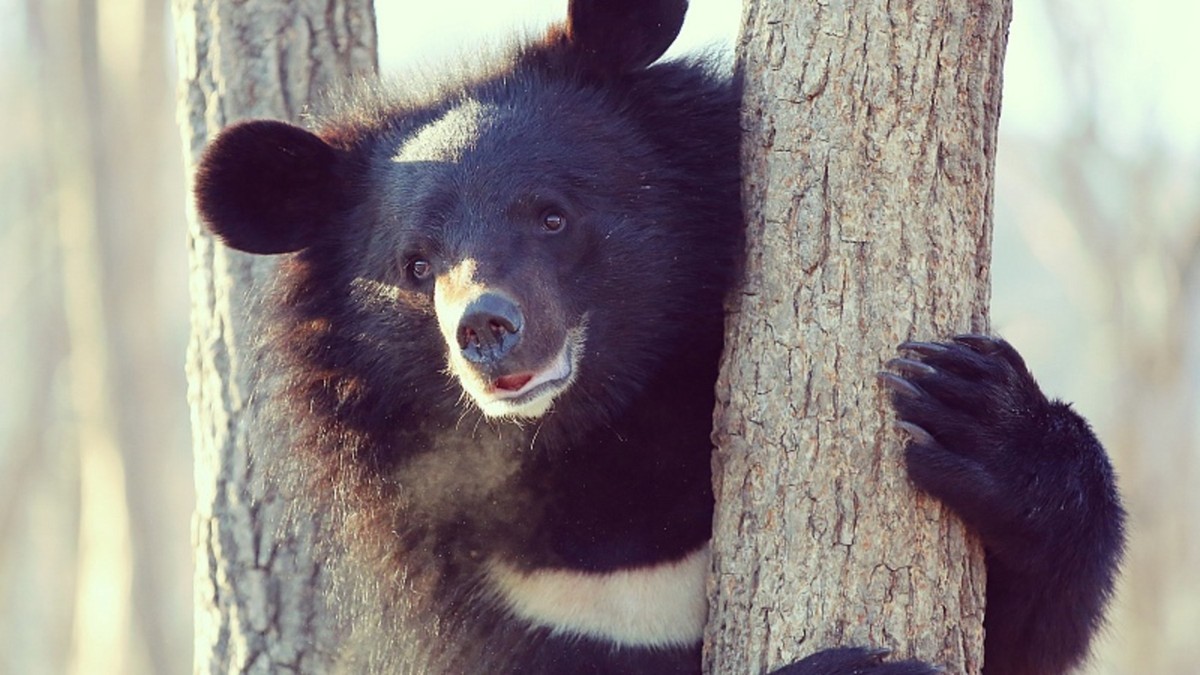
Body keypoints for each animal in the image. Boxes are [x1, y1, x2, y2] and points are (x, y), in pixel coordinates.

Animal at [194, 0, 1123, 667]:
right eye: (416, 265)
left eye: (553, 215)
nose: (485, 328)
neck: (603, 448)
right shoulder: (522, 599)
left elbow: (1024, 631)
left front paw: (974, 411)